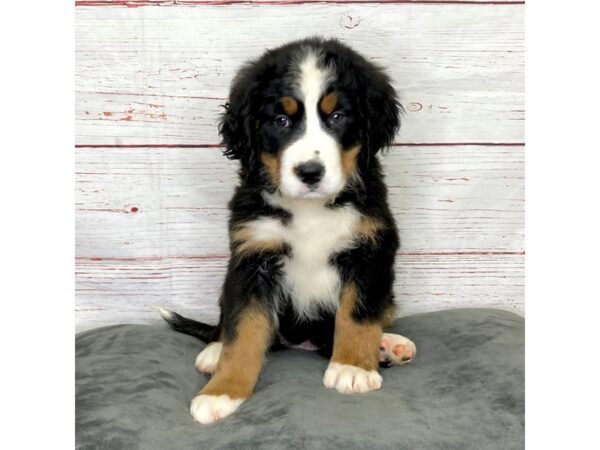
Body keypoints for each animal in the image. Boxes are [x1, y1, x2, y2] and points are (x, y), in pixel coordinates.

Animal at [157, 38, 414, 426]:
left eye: (337, 117)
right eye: (281, 120)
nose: (310, 172)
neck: (310, 209)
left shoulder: (369, 251)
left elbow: (357, 314)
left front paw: (352, 367)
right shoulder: (253, 258)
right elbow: (244, 331)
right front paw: (222, 391)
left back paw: (387, 345)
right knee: (227, 324)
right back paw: (215, 352)